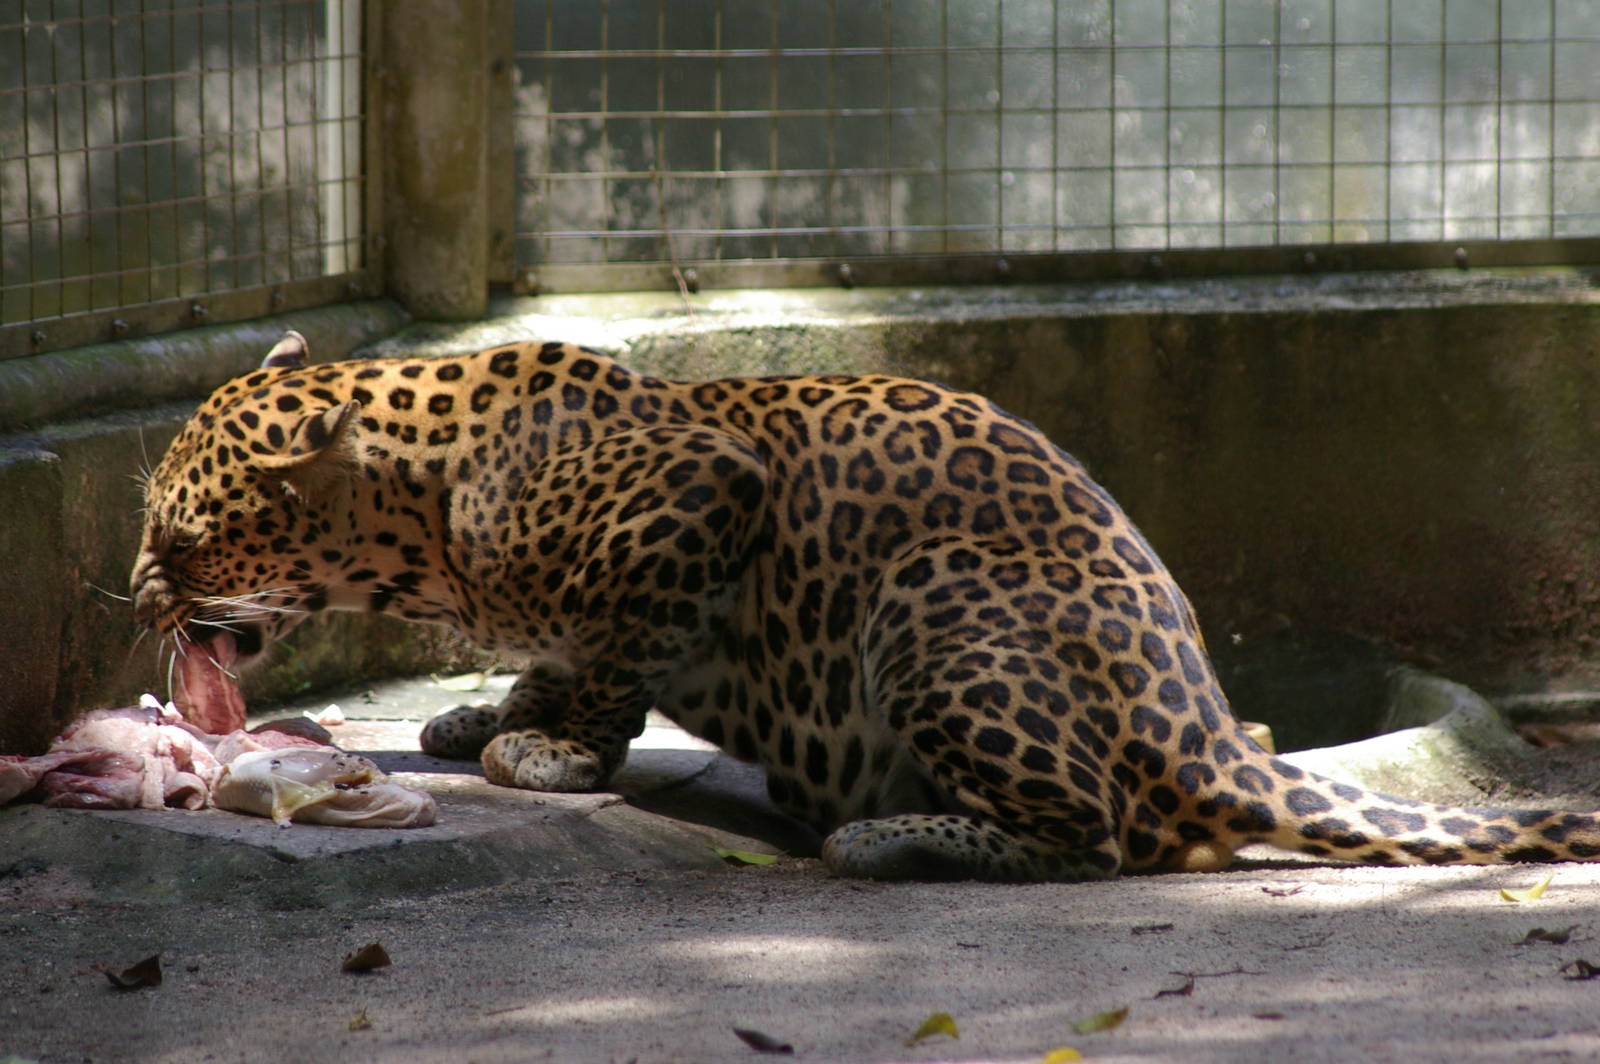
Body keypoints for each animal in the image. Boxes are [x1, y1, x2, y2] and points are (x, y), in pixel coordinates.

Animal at [130, 329, 1600, 880]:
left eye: (181, 531)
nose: (135, 590)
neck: (431, 512)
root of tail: (1193, 714)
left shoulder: (699, 496)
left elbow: (611, 657)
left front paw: (548, 750)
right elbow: (558, 653)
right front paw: (483, 714)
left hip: (937, 605)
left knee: (1098, 833)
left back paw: (885, 834)